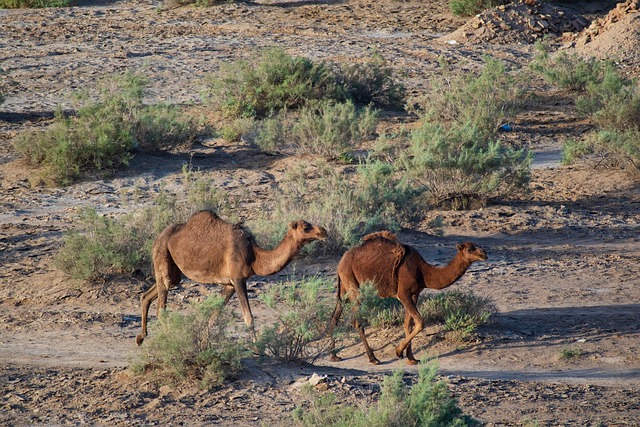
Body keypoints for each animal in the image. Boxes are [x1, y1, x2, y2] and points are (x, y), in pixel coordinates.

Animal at [136, 210, 328, 346]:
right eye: (305, 228)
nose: (324, 231)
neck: (254, 255)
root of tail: (157, 237)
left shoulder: (229, 284)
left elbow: (214, 316)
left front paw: (205, 342)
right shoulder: (239, 279)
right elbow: (249, 318)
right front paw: (258, 349)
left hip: (174, 271)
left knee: (148, 295)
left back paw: (141, 337)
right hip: (162, 253)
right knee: (161, 306)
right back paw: (168, 338)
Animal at [327, 231, 487, 365]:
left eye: (476, 246)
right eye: (470, 249)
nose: (484, 253)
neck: (424, 272)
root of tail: (341, 261)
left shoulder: (414, 294)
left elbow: (408, 324)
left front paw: (411, 358)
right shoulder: (403, 294)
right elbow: (420, 322)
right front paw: (398, 352)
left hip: (344, 286)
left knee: (335, 316)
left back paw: (334, 355)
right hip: (353, 284)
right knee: (357, 321)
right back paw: (373, 358)